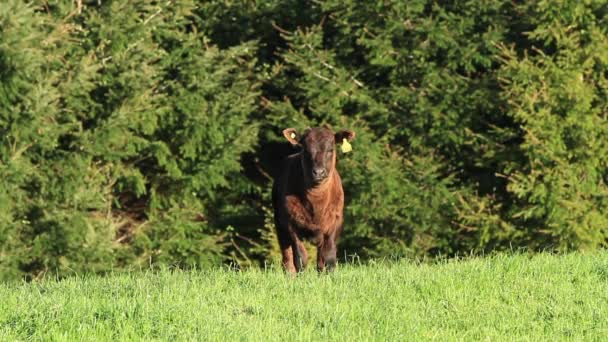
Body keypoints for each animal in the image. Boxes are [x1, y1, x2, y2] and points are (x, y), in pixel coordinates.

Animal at [272, 125, 356, 272]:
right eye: (305, 149)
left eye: (330, 149)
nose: (318, 172)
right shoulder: (290, 223)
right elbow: (300, 257)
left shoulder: (335, 222)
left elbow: (329, 256)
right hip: (279, 224)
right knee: (287, 259)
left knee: (320, 259)